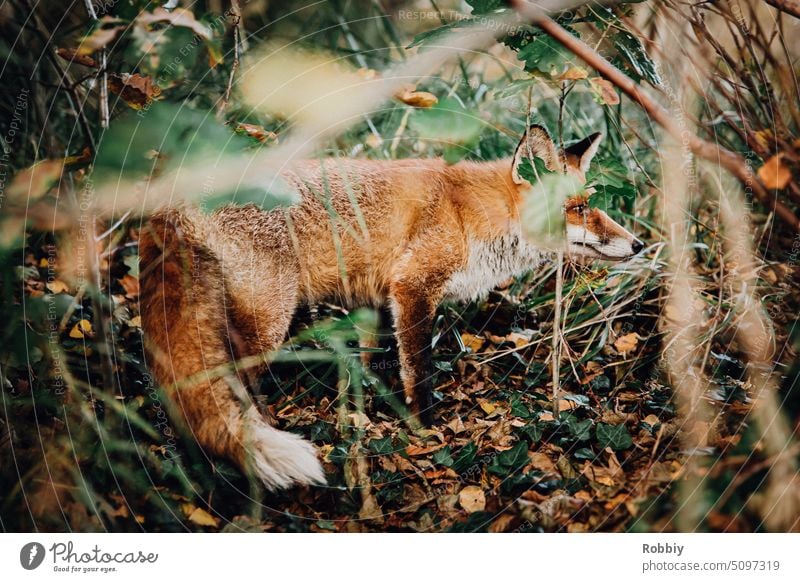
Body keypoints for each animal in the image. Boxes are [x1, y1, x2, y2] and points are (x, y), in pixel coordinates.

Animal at [138, 124, 644, 492]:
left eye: (590, 204)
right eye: (577, 209)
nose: (639, 244)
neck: (473, 215)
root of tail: (171, 203)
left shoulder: (378, 300)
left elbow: (372, 361)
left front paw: (366, 415)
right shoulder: (413, 286)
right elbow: (418, 371)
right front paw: (424, 430)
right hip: (267, 322)